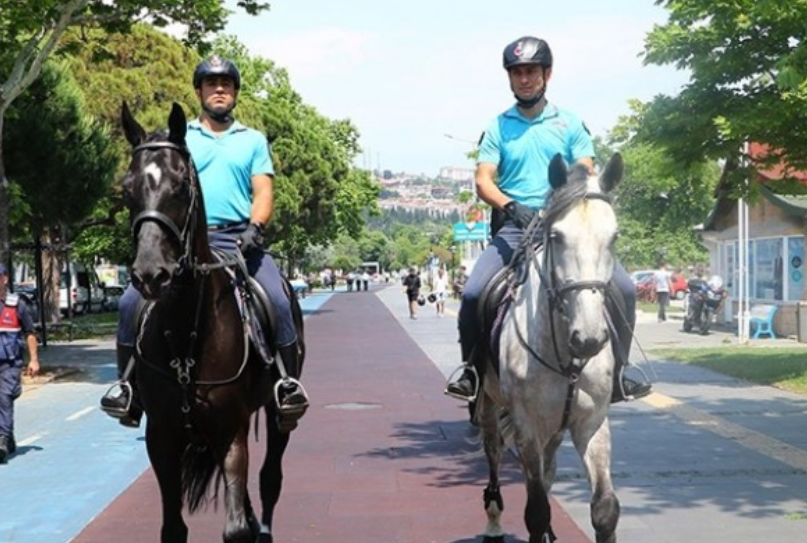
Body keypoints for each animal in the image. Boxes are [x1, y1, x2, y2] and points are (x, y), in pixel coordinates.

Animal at [120, 102, 306, 543]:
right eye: (127, 189)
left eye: (180, 186)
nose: (150, 274)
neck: (187, 327)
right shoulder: (161, 435)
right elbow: (173, 527)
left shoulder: (230, 430)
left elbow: (236, 527)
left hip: (277, 416)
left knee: (270, 478)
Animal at [480, 153, 624, 543]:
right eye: (557, 237)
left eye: (614, 237)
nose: (588, 339)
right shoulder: (527, 425)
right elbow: (536, 509)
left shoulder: (592, 422)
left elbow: (604, 509)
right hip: (489, 406)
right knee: (494, 454)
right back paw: (493, 521)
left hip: (556, 427)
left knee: (548, 469)